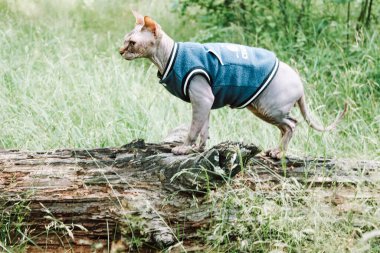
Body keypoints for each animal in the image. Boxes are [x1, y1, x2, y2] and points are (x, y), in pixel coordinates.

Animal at [119, 11, 348, 159]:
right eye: (124, 40)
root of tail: (300, 83)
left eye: (132, 43)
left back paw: (278, 152)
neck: (166, 58)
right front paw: (199, 149)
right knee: (286, 127)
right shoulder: (206, 101)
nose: (120, 51)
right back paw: (275, 150)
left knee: (292, 124)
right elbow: (203, 129)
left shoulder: (202, 97)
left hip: (269, 107)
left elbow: (193, 128)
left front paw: (184, 148)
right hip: (259, 108)